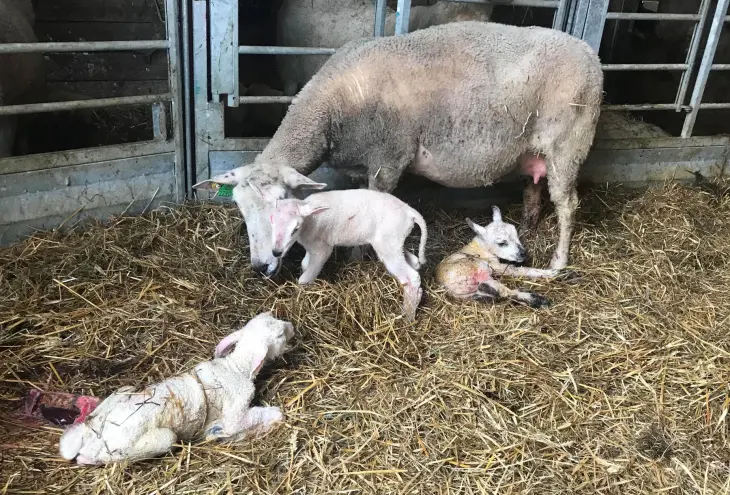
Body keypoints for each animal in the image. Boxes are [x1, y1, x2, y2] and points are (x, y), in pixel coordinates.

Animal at [59, 314, 292, 464]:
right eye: (280, 335)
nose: (291, 326)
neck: (235, 366)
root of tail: (94, 439)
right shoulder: (236, 409)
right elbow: (244, 421)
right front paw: (274, 414)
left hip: (121, 392)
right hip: (158, 440)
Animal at [191, 20, 600, 280]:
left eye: (282, 205)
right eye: (241, 209)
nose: (261, 266)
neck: (333, 106)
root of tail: (588, 52)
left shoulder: (388, 159)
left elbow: (376, 201)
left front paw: (359, 257)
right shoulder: (360, 164)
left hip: (569, 144)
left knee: (568, 204)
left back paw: (559, 261)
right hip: (534, 150)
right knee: (534, 187)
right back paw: (529, 227)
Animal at [264, 186, 426, 322]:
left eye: (295, 228)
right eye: (271, 220)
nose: (276, 252)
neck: (310, 221)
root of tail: (409, 212)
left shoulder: (322, 249)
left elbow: (304, 279)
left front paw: (302, 293)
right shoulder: (311, 246)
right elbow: (304, 264)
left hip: (389, 241)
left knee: (412, 277)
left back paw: (407, 316)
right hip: (393, 241)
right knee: (414, 262)